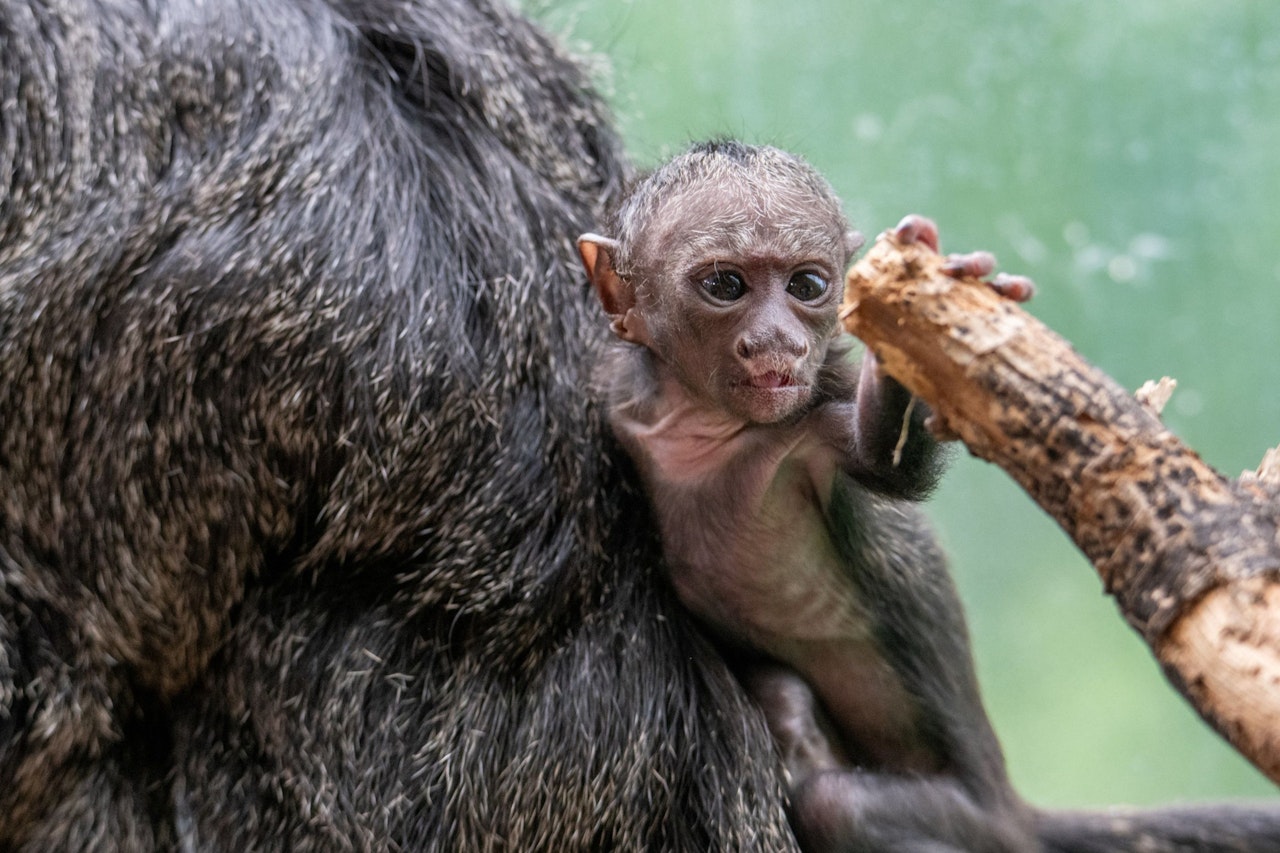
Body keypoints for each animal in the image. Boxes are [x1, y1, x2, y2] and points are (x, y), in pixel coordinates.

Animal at [580, 140, 1280, 852]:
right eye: (726, 285)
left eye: (807, 286)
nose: (779, 340)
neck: (700, 429)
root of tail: (1008, 807)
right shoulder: (619, 396)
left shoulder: (804, 427)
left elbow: (885, 465)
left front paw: (920, 316)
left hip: (962, 817)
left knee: (834, 805)